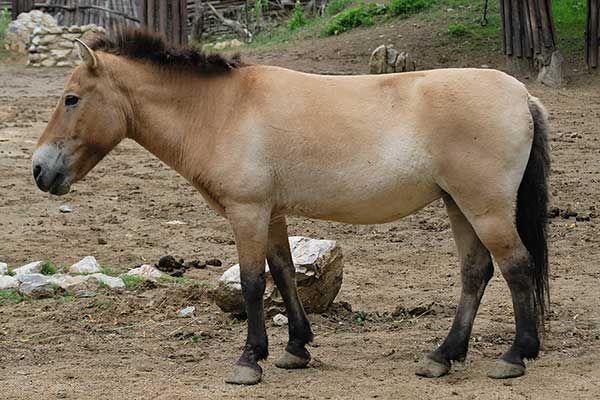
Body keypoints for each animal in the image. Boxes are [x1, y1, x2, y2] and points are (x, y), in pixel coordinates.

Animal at [31, 29, 548, 386]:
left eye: (71, 99)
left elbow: (252, 283)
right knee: (476, 272)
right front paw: (296, 348)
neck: (222, 110)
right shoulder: (272, 213)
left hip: (484, 208)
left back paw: (515, 356)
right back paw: (442, 356)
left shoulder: (247, 211)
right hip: (459, 205)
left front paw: (248, 361)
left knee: (516, 266)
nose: (39, 170)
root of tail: (522, 95)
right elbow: (283, 272)